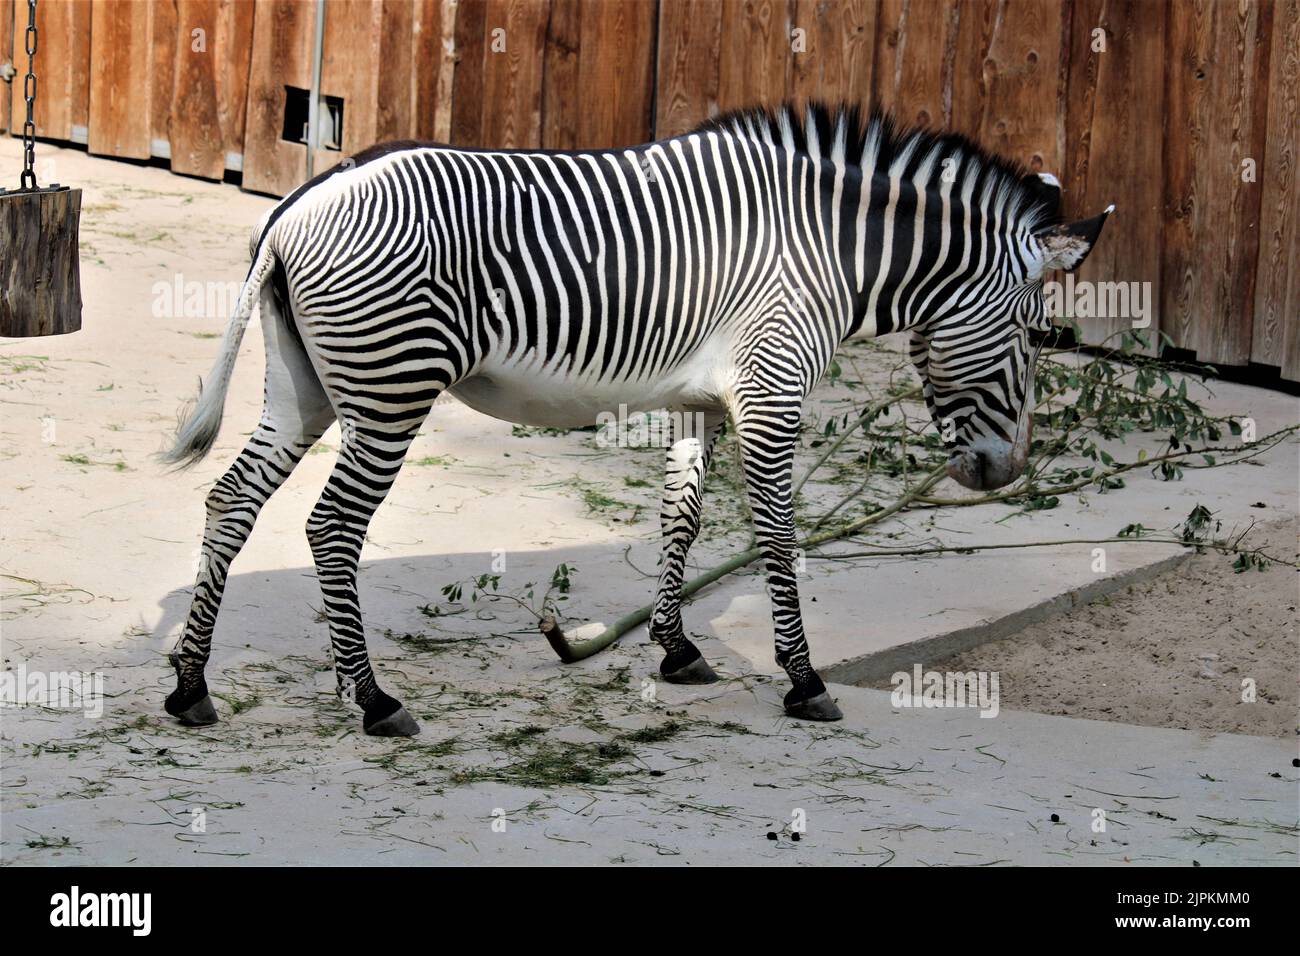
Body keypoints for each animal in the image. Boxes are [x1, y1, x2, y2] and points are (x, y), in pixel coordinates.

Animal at [159, 102, 1107, 733]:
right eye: (1036, 335)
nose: (1008, 473)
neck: (826, 245)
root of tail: (295, 205)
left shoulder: (702, 399)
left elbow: (682, 517)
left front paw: (676, 648)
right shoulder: (772, 390)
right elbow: (777, 535)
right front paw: (804, 680)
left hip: (306, 388)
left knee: (231, 501)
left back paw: (192, 686)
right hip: (392, 386)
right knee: (331, 527)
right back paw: (373, 698)